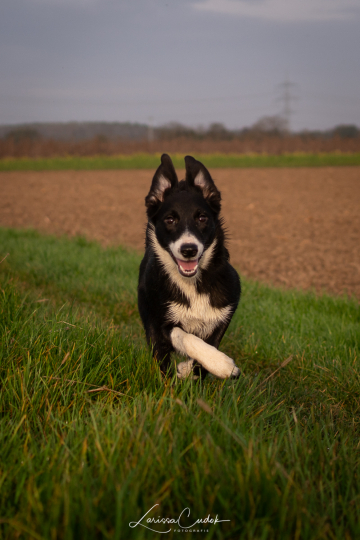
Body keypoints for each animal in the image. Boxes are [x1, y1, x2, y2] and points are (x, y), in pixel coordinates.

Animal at [138, 153, 242, 380]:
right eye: (169, 219)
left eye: (202, 217)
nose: (188, 249)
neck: (193, 285)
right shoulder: (160, 324)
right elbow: (186, 337)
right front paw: (223, 364)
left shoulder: (223, 316)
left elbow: (205, 354)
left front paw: (192, 369)